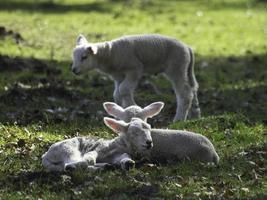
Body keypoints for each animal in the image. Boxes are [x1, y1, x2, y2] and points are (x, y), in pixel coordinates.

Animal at [71, 34, 201, 122]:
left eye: (84, 57)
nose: (74, 70)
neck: (110, 54)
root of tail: (188, 48)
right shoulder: (118, 76)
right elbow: (117, 94)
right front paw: (119, 115)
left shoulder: (134, 69)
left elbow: (123, 90)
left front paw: (132, 108)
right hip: (185, 69)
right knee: (193, 88)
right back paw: (195, 115)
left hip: (176, 68)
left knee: (185, 93)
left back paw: (179, 119)